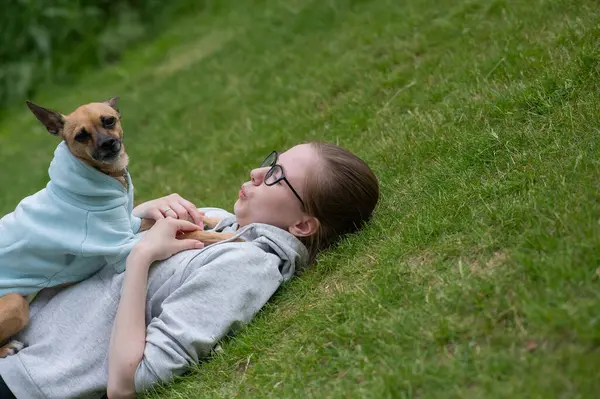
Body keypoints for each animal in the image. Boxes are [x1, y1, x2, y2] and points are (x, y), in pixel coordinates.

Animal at [0, 99, 234, 360]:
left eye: (109, 120)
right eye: (81, 136)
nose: (108, 143)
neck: (109, 176)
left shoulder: (131, 223)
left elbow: (170, 219)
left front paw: (212, 219)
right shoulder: (124, 246)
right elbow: (189, 233)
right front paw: (230, 236)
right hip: (14, 302)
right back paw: (8, 347)